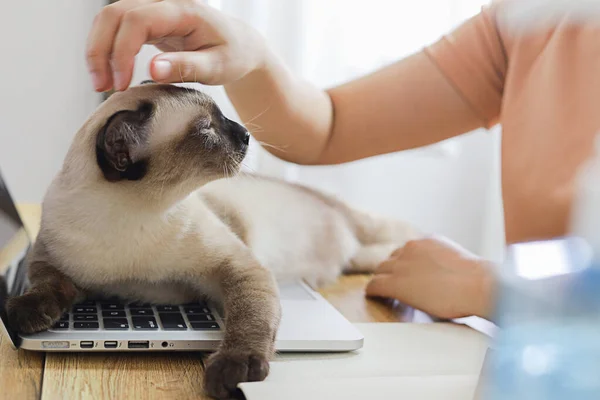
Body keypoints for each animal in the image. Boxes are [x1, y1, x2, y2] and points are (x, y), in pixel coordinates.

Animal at [5, 82, 418, 400]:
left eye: (223, 119)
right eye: (207, 129)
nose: (247, 135)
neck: (130, 217)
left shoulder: (239, 270)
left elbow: (248, 322)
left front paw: (234, 371)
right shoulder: (49, 262)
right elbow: (48, 287)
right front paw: (23, 314)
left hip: (364, 231)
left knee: (392, 235)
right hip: (357, 252)